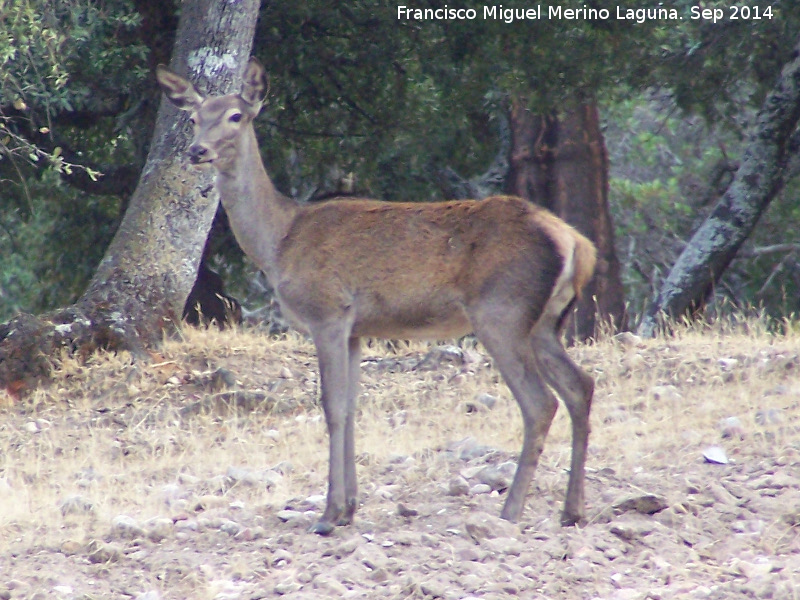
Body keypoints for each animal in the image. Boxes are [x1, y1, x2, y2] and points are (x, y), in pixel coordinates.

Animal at [158, 57, 592, 536]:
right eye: (194, 118)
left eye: (236, 115)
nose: (197, 150)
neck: (279, 242)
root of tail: (575, 242)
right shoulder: (355, 329)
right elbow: (350, 408)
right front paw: (349, 508)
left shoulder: (327, 311)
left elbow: (331, 407)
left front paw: (328, 515)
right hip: (547, 322)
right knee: (581, 386)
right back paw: (572, 511)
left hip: (502, 311)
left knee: (540, 402)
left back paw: (511, 511)